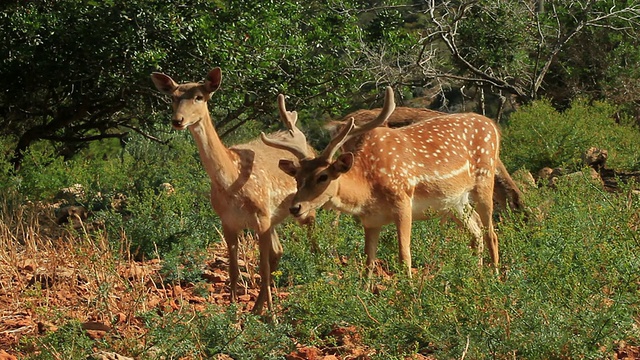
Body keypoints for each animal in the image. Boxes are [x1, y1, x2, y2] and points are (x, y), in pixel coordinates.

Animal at [152, 68, 318, 316]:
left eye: (199, 96)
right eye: (173, 97)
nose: (177, 120)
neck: (231, 181)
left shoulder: (261, 216)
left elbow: (262, 267)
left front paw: (272, 316)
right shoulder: (228, 221)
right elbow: (233, 269)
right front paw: (233, 310)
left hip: (304, 207)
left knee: (311, 237)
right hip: (274, 217)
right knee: (278, 251)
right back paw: (257, 308)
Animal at [262, 86, 508, 278]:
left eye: (323, 176)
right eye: (297, 177)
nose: (295, 208)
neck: (368, 188)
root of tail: (494, 126)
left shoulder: (403, 201)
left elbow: (404, 255)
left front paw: (409, 295)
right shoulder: (371, 220)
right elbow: (369, 263)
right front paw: (366, 295)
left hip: (485, 178)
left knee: (491, 232)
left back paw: (494, 278)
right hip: (454, 201)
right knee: (475, 231)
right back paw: (476, 275)